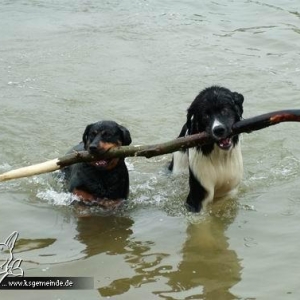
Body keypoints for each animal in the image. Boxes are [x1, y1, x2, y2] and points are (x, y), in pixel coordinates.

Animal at [169, 84, 244, 212]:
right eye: (206, 115)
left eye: (225, 110)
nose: (218, 130)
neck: (219, 158)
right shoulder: (198, 193)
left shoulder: (230, 189)